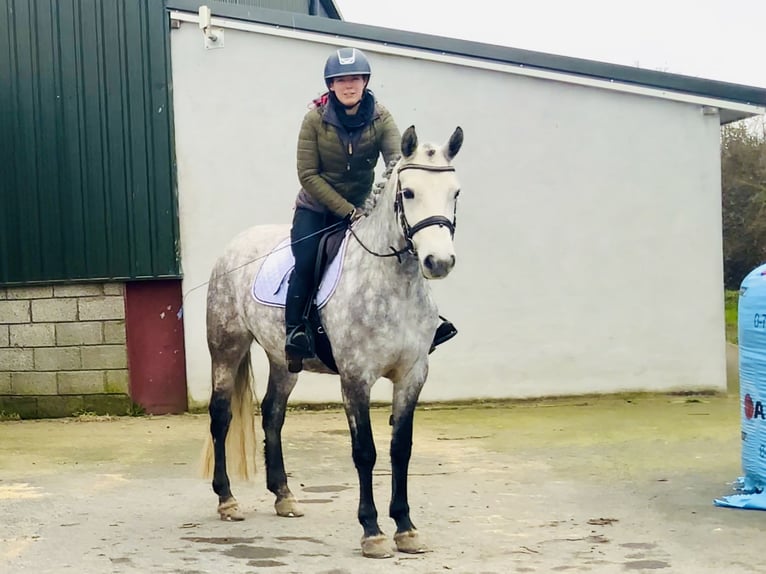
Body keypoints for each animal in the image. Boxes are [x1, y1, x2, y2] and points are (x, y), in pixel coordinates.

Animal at [202, 125, 462, 560]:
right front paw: (372, 532)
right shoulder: (356, 378)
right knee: (221, 417)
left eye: (455, 192)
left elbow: (400, 449)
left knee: (272, 415)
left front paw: (406, 528)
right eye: (408, 192)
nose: (438, 263)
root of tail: (236, 245)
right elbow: (365, 451)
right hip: (227, 348)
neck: (390, 284)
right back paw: (227, 500)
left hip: (282, 359)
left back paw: (284, 497)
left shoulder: (412, 375)